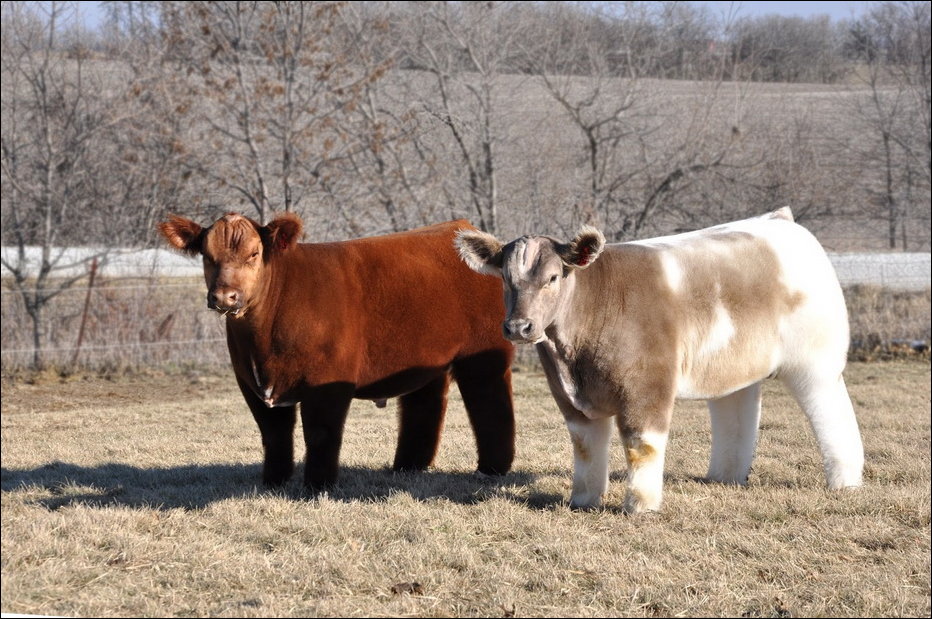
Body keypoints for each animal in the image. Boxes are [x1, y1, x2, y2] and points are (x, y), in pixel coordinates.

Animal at [158, 213, 515, 491]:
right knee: (424, 405)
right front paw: (273, 482)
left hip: (484, 353)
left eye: (254, 253)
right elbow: (273, 434)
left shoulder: (327, 380)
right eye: (207, 255)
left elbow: (320, 432)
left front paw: (318, 486)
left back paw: (492, 469)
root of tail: (463, 228)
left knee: (490, 403)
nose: (225, 296)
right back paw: (408, 466)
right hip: (425, 358)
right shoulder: (250, 382)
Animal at [456, 207, 864, 513]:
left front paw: (640, 506)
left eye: (553, 277)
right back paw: (725, 475)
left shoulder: (646, 387)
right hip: (734, 366)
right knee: (735, 412)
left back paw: (845, 481)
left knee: (834, 417)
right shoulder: (571, 398)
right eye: (505, 279)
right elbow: (586, 447)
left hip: (815, 364)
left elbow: (642, 447)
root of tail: (780, 221)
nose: (518, 327)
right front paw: (583, 500)